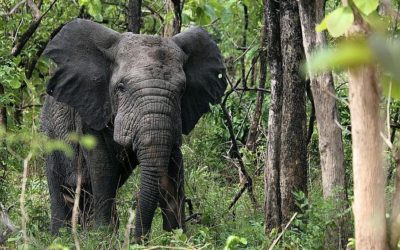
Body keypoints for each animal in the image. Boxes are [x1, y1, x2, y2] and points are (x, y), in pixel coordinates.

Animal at [41, 18, 227, 241]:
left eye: (182, 90)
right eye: (121, 87)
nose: (137, 238)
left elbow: (173, 165)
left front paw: (177, 236)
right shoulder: (91, 110)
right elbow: (102, 166)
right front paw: (103, 237)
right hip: (50, 135)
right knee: (62, 187)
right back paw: (60, 238)